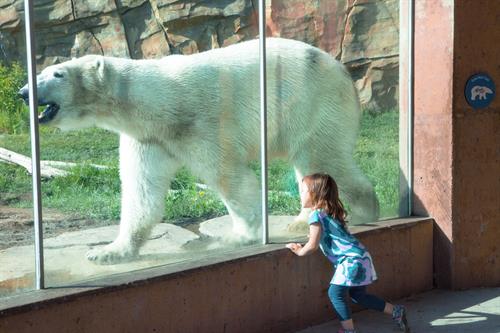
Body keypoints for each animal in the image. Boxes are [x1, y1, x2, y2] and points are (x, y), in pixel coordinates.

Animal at [18, 37, 378, 264]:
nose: (23, 92)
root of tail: (343, 71)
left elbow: (228, 176)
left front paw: (238, 236)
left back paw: (366, 210)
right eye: (39, 72)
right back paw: (300, 221)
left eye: (57, 74)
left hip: (312, 102)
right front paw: (107, 252)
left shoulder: (199, 123)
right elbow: (142, 192)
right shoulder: (149, 138)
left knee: (323, 155)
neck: (155, 103)